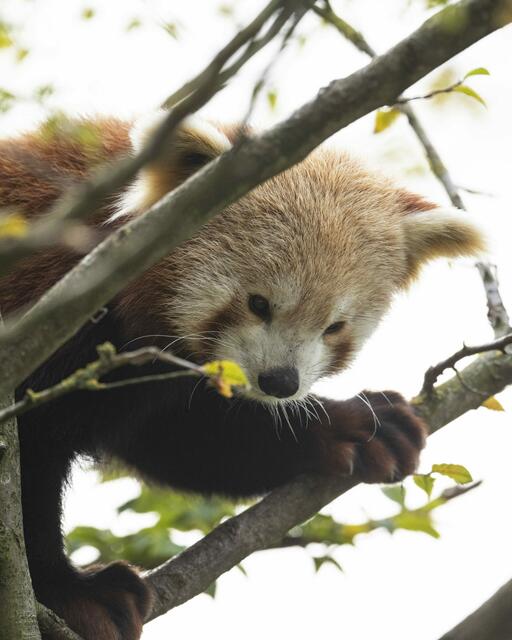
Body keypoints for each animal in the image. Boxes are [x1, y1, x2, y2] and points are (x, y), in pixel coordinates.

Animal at [0, 113, 484, 640]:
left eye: (334, 327)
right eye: (258, 303)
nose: (280, 382)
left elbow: (182, 438)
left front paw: (354, 427)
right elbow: (29, 468)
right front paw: (71, 594)